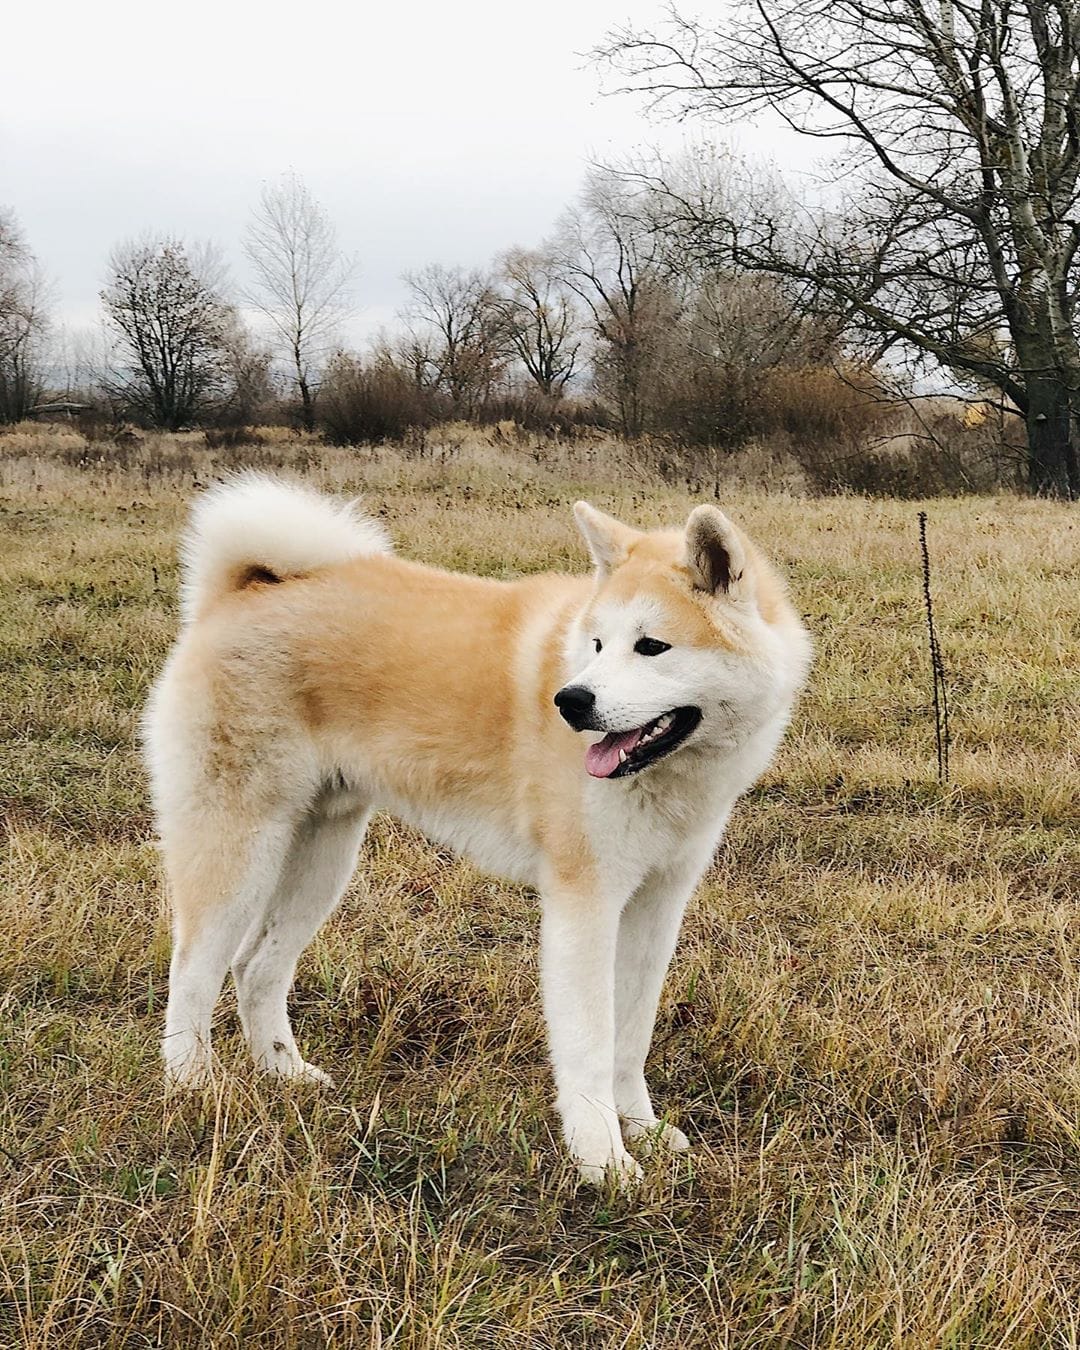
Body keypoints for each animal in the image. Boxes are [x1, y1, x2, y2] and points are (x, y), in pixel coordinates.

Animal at [143, 476, 811, 1183]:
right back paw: (192, 1083)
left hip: (322, 856)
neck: (675, 775)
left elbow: (630, 1037)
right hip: (240, 849)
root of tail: (241, 591)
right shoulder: (585, 904)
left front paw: (643, 1131)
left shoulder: (657, 903)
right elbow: (590, 1046)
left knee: (256, 967)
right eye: (597, 644)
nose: (570, 702)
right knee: (192, 972)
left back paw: (285, 1073)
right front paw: (602, 1159)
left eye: (651, 646)